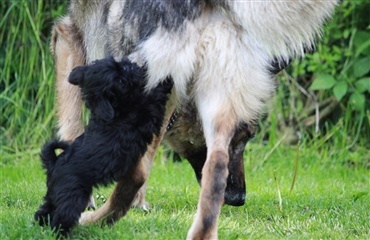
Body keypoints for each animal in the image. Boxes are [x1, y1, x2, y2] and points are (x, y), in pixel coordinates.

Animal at [34, 57, 173, 236]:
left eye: (118, 63)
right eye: (120, 80)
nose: (130, 64)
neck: (115, 109)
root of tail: (54, 163)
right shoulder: (144, 118)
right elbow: (152, 101)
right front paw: (165, 81)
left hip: (54, 193)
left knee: (44, 210)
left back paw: (40, 224)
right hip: (73, 196)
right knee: (61, 216)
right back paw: (63, 233)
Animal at [50, 1, 336, 238]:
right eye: (245, 136)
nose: (239, 198)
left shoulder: (70, 37)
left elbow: (73, 124)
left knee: (138, 173)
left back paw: (88, 220)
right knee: (214, 169)